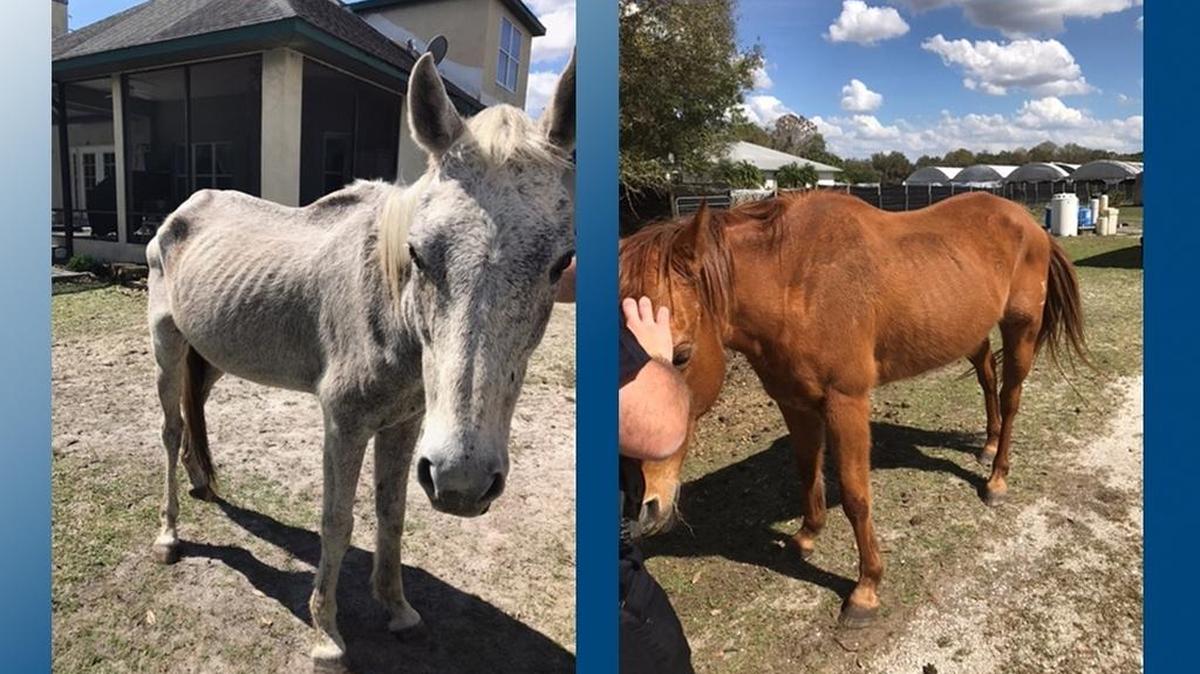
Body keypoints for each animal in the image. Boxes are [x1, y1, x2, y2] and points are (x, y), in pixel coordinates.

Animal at [145, 52, 575, 668]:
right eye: (418, 252)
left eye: (561, 261)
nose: (464, 481)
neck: (389, 309)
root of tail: (181, 212)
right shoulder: (343, 424)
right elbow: (337, 520)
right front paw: (326, 634)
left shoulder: (405, 425)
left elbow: (391, 514)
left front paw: (399, 611)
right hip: (168, 348)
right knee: (171, 430)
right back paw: (168, 536)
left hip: (210, 355)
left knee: (194, 413)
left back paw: (204, 482)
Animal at [618, 190, 1087, 626]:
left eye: (680, 356)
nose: (645, 506)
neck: (794, 282)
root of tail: (1029, 223)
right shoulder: (794, 402)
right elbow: (807, 470)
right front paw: (807, 535)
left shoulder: (847, 403)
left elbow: (856, 495)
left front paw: (866, 587)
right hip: (970, 331)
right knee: (988, 377)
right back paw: (987, 446)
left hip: (1021, 328)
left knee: (1010, 398)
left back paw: (996, 478)